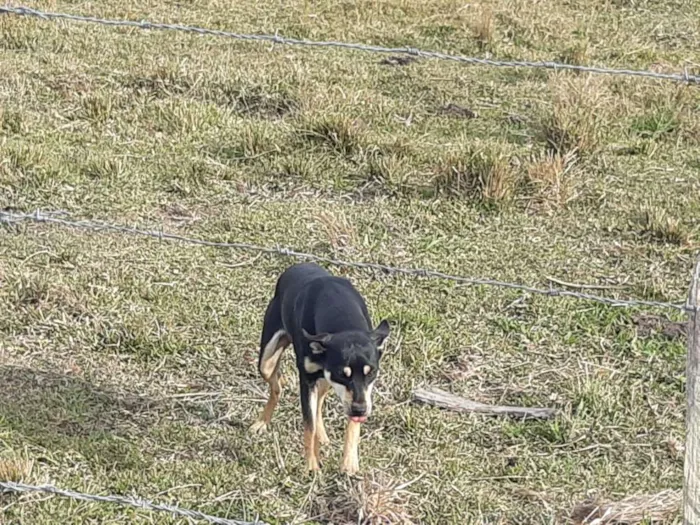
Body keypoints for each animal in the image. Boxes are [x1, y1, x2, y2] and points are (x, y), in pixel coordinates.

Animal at [252, 264, 392, 472]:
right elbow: (308, 424)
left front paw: (349, 462)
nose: (360, 411)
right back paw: (262, 422)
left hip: (324, 380)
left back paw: (323, 435)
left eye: (372, 372)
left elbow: (349, 423)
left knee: (318, 402)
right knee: (276, 387)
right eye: (342, 374)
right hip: (267, 361)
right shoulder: (308, 379)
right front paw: (311, 465)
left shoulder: (354, 391)